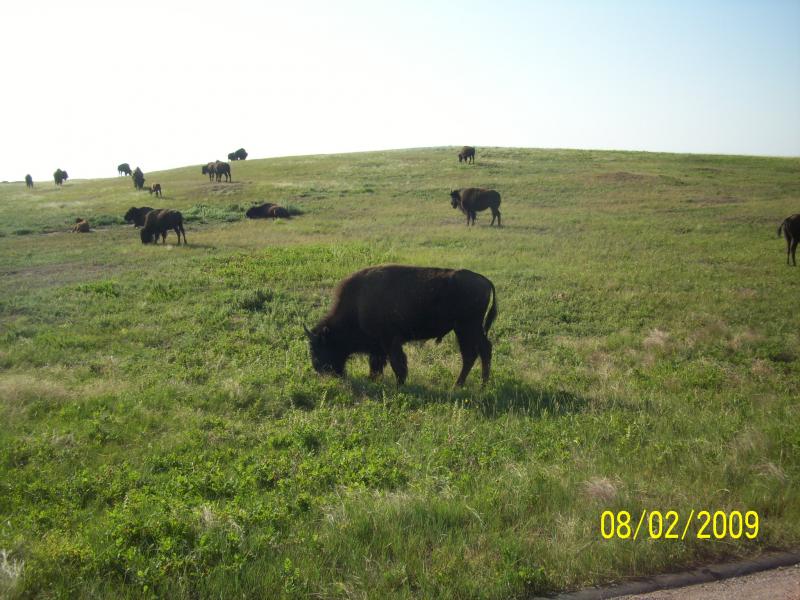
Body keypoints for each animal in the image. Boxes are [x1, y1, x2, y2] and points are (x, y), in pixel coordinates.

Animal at [305, 265, 497, 387]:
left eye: (318, 347)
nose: (318, 369)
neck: (357, 304)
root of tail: (485, 281)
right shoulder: (379, 346)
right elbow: (377, 363)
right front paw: (373, 379)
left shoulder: (390, 341)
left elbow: (397, 363)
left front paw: (400, 383)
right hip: (469, 329)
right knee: (482, 350)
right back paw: (482, 384)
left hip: (466, 328)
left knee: (472, 354)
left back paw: (460, 385)